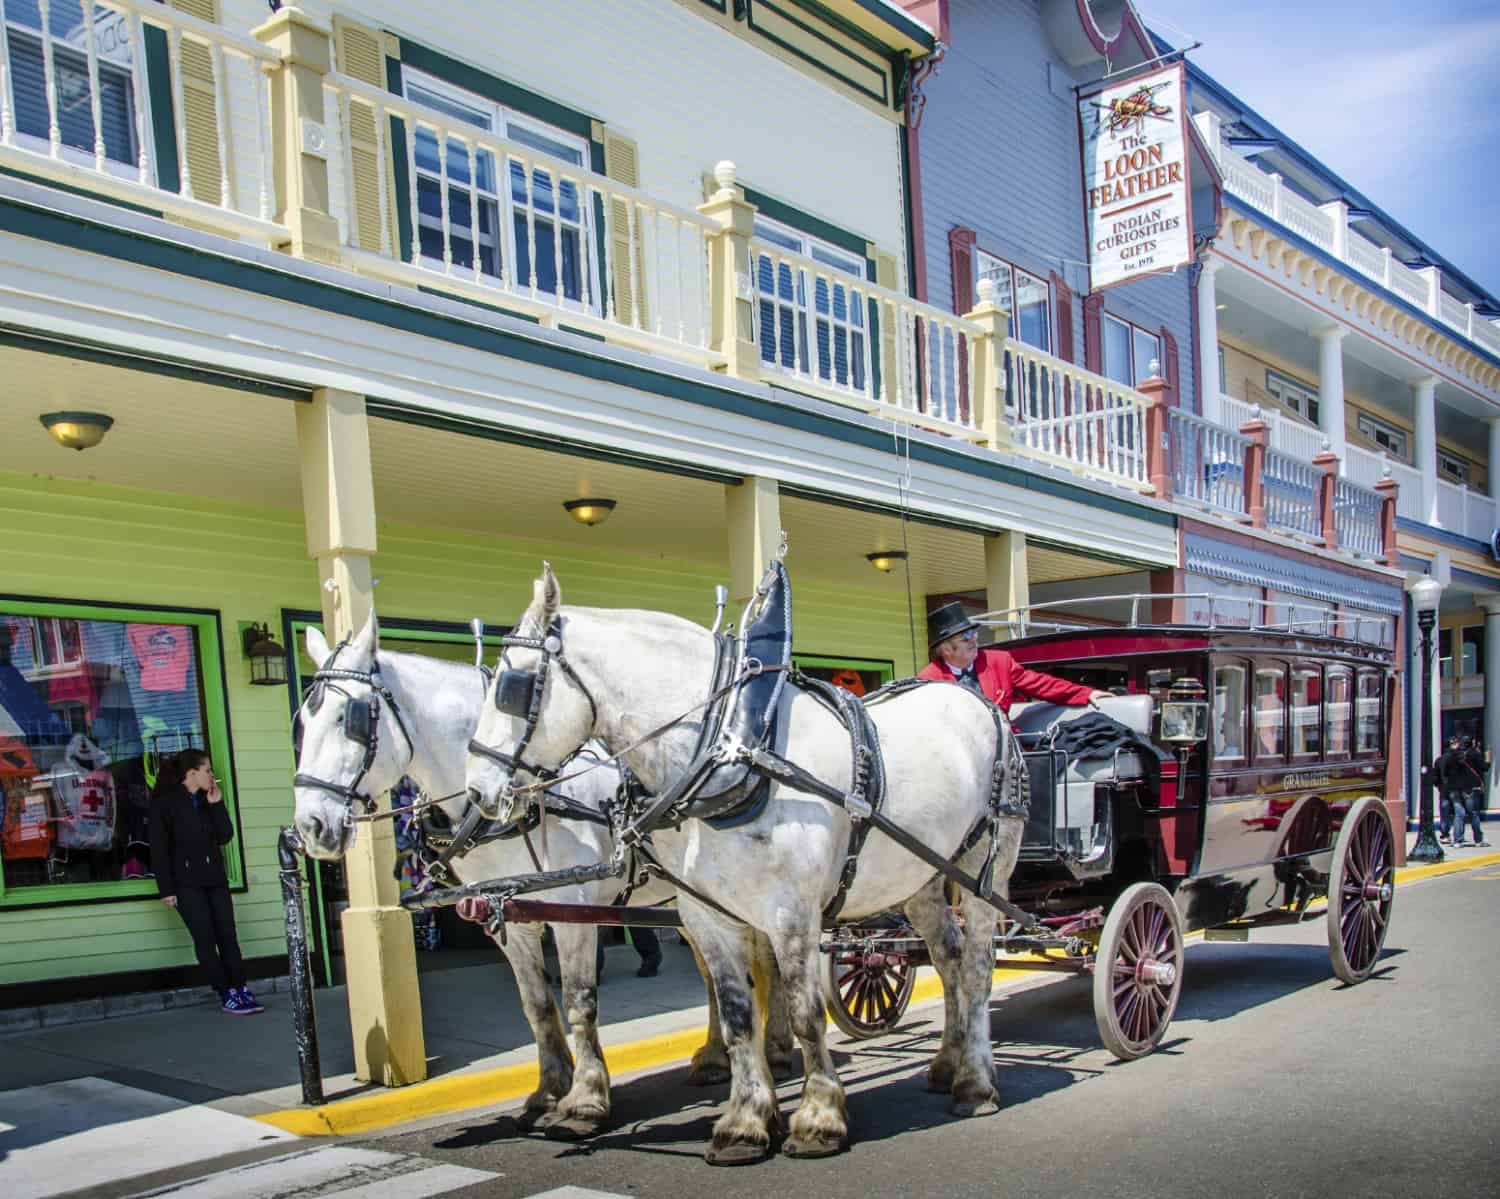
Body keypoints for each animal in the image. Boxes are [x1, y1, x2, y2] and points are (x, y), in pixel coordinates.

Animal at [289, 615, 798, 1140]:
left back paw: (777, 1049)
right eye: (302, 723)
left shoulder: (573, 911)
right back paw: (717, 1057)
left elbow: (578, 1001)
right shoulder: (506, 918)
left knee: (766, 957)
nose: (310, 827)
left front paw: (587, 1099)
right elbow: (536, 1006)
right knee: (711, 971)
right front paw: (549, 1089)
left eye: (349, 719)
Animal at [465, 567, 1032, 1170]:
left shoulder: (791, 911)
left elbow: (806, 1012)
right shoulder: (707, 913)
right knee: (948, 959)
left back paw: (975, 1082)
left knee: (977, 967)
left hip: (986, 868)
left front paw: (818, 1118)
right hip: (920, 877)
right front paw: (745, 1123)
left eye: (510, 685)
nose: (477, 791)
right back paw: (948, 1063)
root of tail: (973, 700)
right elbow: (738, 1015)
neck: (731, 746)